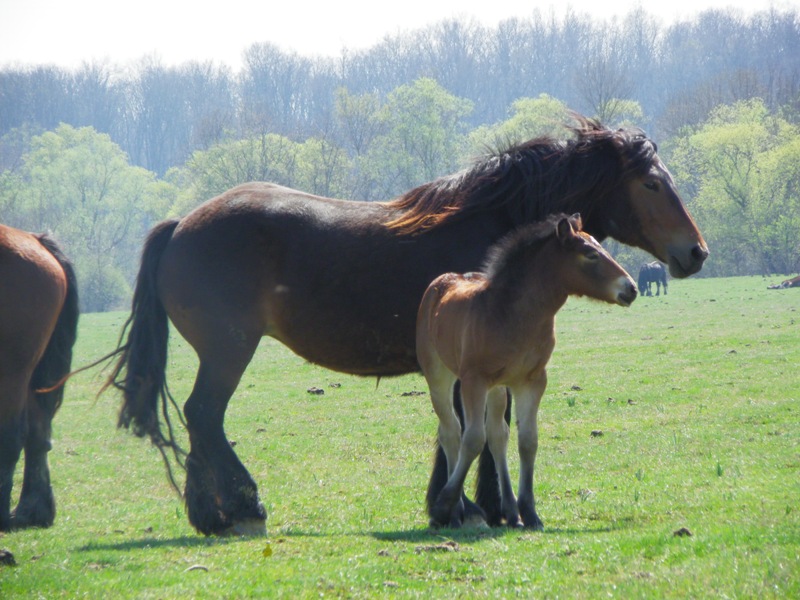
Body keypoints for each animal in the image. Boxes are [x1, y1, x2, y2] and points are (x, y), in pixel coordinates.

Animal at [418, 213, 636, 528]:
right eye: (591, 254)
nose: (631, 288)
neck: (511, 314)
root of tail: (439, 284)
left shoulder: (531, 382)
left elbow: (527, 441)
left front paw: (530, 512)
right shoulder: (474, 381)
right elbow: (472, 440)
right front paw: (443, 506)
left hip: (498, 388)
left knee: (497, 435)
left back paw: (510, 510)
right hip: (440, 375)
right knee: (451, 432)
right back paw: (455, 512)